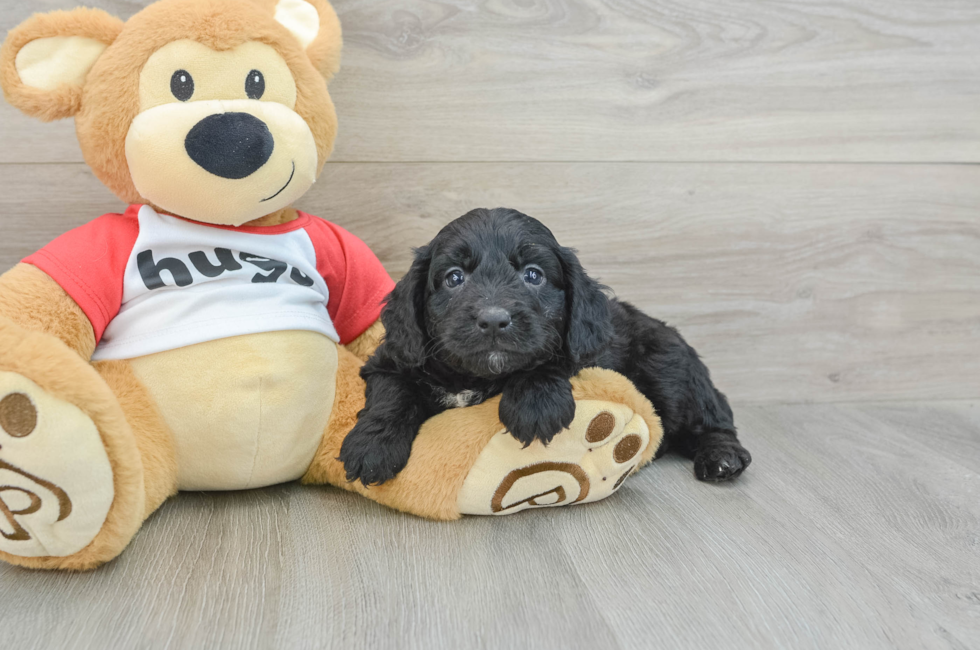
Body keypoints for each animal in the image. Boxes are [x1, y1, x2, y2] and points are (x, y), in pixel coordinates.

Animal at [336, 205, 752, 484]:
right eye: (454, 278)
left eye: (533, 275)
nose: (493, 320)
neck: (475, 377)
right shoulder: (392, 358)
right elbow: (393, 395)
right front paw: (372, 447)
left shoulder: (579, 348)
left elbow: (547, 360)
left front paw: (535, 407)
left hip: (671, 372)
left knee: (715, 418)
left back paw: (722, 458)